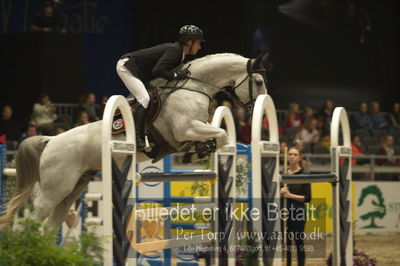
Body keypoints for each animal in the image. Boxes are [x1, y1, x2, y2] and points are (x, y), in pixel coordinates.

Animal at [0, 52, 268, 229]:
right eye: (258, 82)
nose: (259, 112)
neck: (193, 88)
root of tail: (50, 141)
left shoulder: (191, 130)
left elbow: (217, 136)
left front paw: (197, 151)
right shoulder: (185, 128)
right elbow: (221, 135)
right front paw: (201, 149)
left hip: (72, 189)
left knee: (51, 225)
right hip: (54, 189)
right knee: (29, 221)